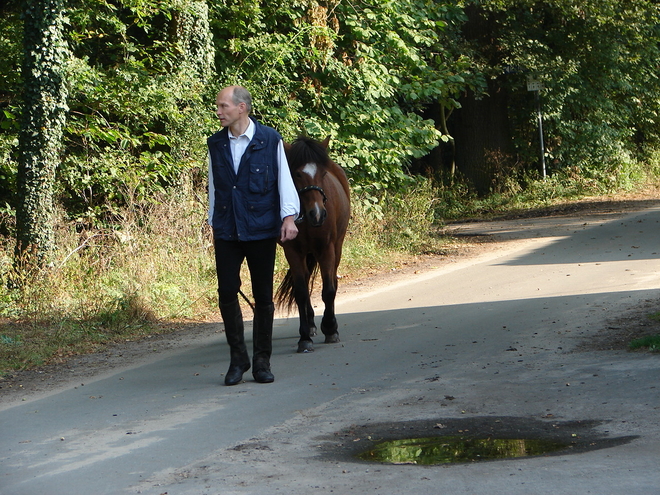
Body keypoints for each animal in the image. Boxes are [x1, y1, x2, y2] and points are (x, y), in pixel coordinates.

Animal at [278, 136, 354, 352]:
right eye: (297, 174)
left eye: (323, 173)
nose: (317, 214)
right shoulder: (293, 252)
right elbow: (301, 292)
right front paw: (304, 337)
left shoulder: (326, 248)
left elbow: (328, 290)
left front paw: (330, 328)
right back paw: (311, 325)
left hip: (337, 247)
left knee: (333, 281)